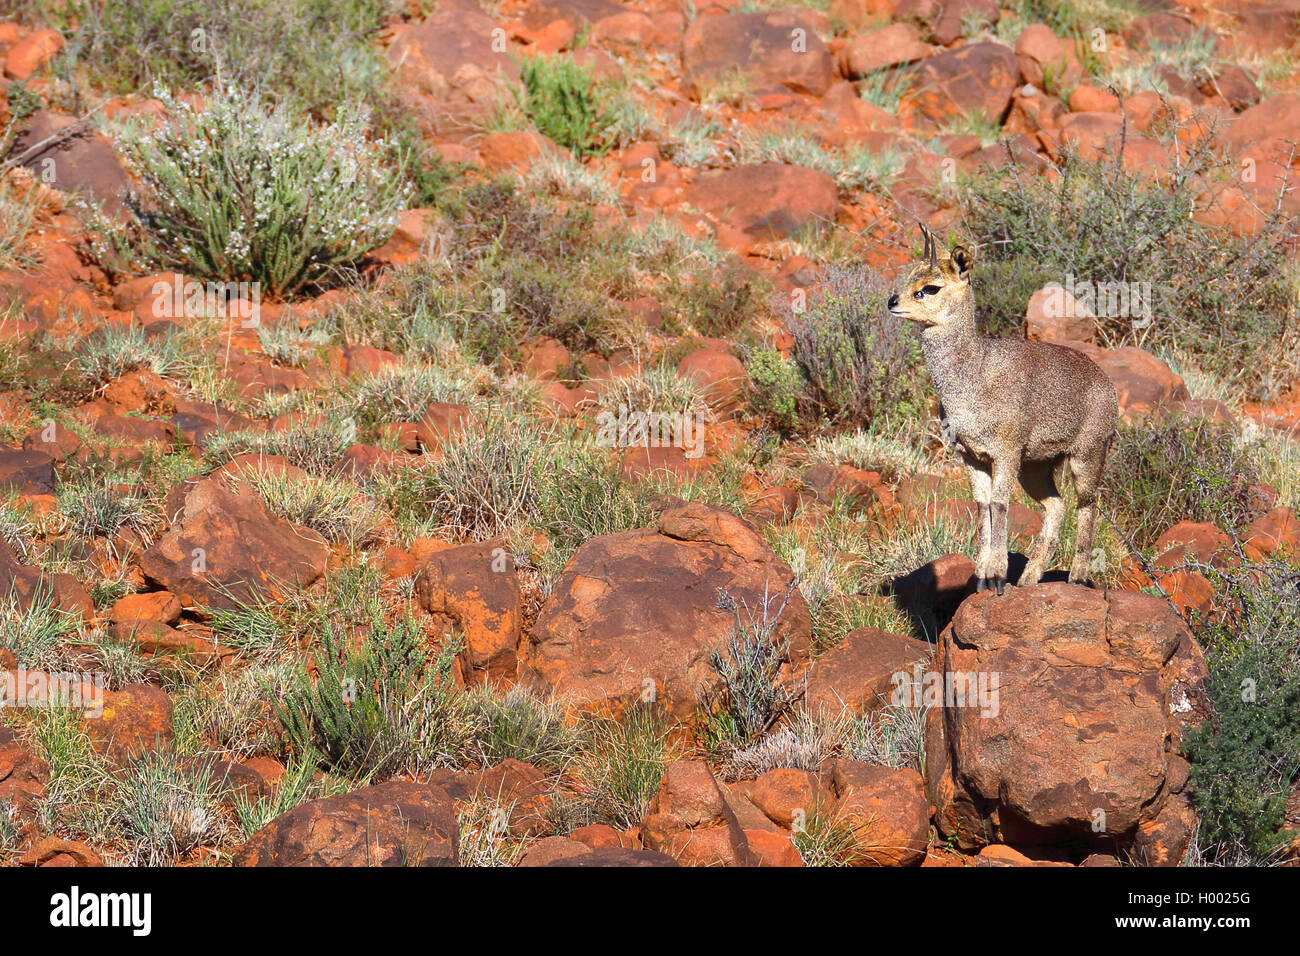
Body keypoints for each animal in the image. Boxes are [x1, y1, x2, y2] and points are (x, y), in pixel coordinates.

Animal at [889, 227, 1123, 595]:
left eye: (931, 287)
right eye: (909, 275)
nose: (893, 301)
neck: (974, 376)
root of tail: (1106, 384)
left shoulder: (1006, 452)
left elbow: (1000, 506)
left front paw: (997, 574)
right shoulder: (971, 456)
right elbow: (983, 507)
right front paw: (982, 575)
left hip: (1086, 455)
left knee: (1088, 505)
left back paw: (1076, 576)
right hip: (1036, 467)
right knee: (1057, 507)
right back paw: (1028, 578)